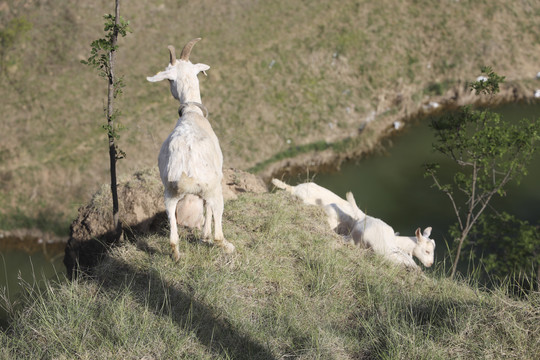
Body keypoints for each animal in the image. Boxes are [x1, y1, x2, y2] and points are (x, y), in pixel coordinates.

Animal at [148, 38, 234, 258]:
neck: (192, 113)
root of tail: (185, 169)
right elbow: (208, 210)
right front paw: (205, 236)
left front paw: (203, 235)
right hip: (213, 188)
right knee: (218, 227)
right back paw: (228, 246)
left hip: (169, 192)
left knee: (172, 234)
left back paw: (176, 256)